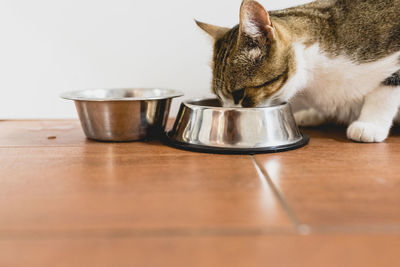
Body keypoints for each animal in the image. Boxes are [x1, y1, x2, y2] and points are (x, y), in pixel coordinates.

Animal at [196, 0, 400, 142]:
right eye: (220, 98)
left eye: (239, 93)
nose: (229, 113)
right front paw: (314, 113)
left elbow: (384, 94)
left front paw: (370, 124)